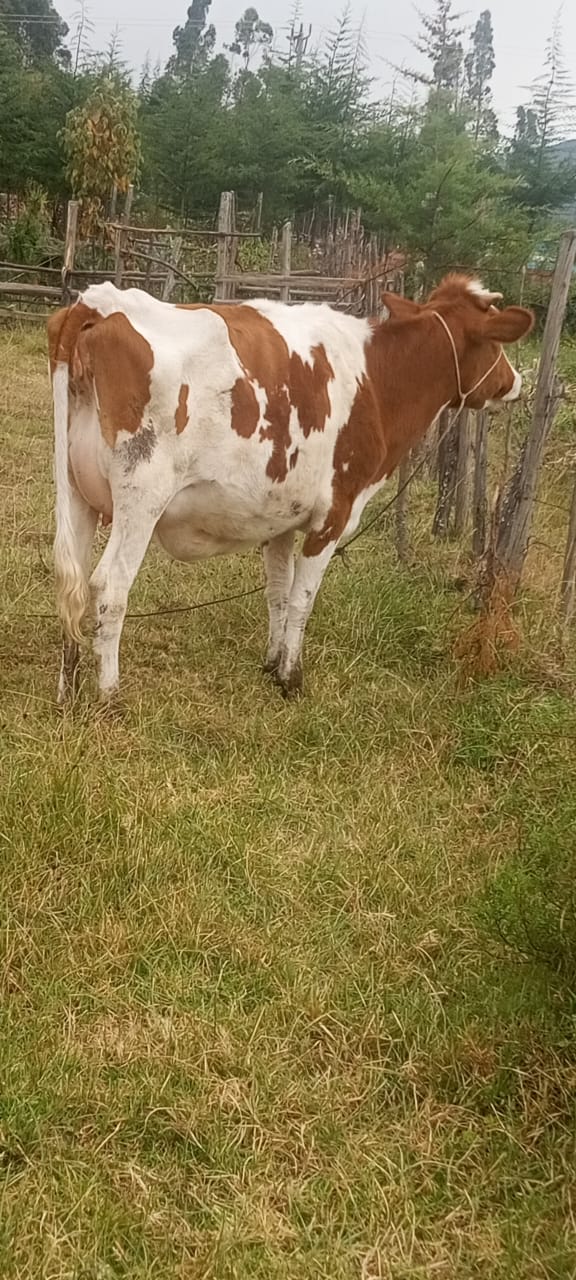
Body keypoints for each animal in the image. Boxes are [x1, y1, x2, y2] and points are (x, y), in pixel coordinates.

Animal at [47, 275, 533, 704]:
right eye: (496, 342)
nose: (515, 381)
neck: (377, 381)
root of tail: (99, 301)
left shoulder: (278, 519)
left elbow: (277, 593)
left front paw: (271, 661)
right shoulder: (332, 515)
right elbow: (302, 599)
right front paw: (291, 677)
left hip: (78, 496)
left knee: (73, 581)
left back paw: (69, 686)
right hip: (141, 499)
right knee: (110, 587)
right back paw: (109, 694)